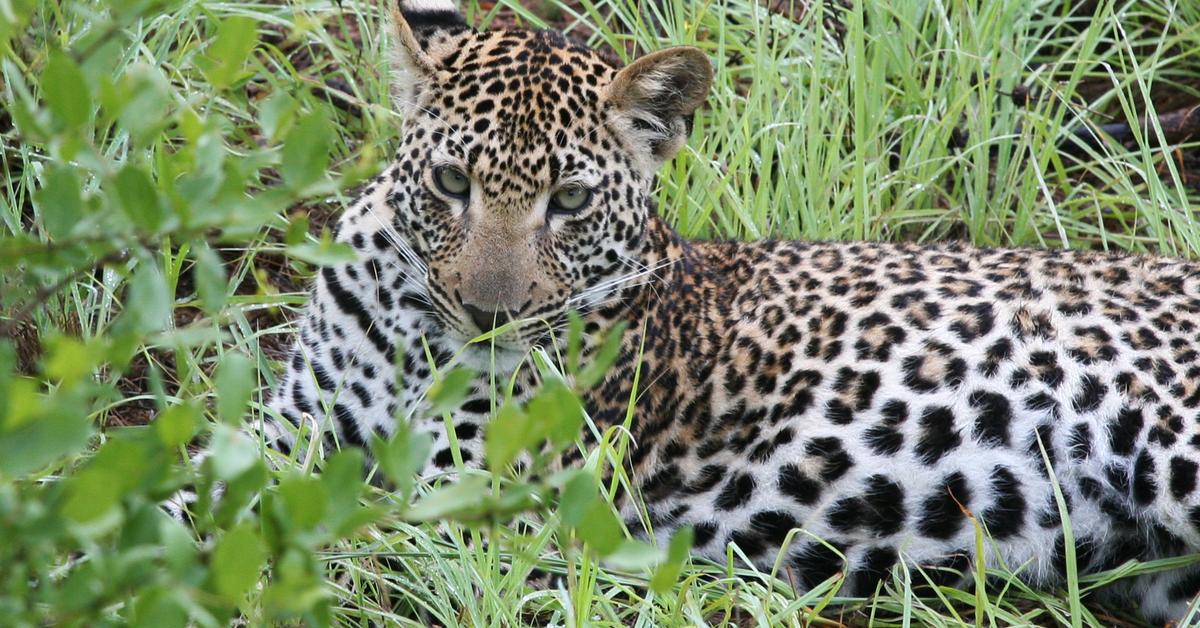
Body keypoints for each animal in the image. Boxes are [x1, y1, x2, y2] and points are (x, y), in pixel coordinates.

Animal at [262, 0, 1200, 619]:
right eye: (453, 183)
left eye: (569, 201)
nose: (485, 314)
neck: (411, 332)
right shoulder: (292, 428)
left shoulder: (473, 501)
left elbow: (335, 543)